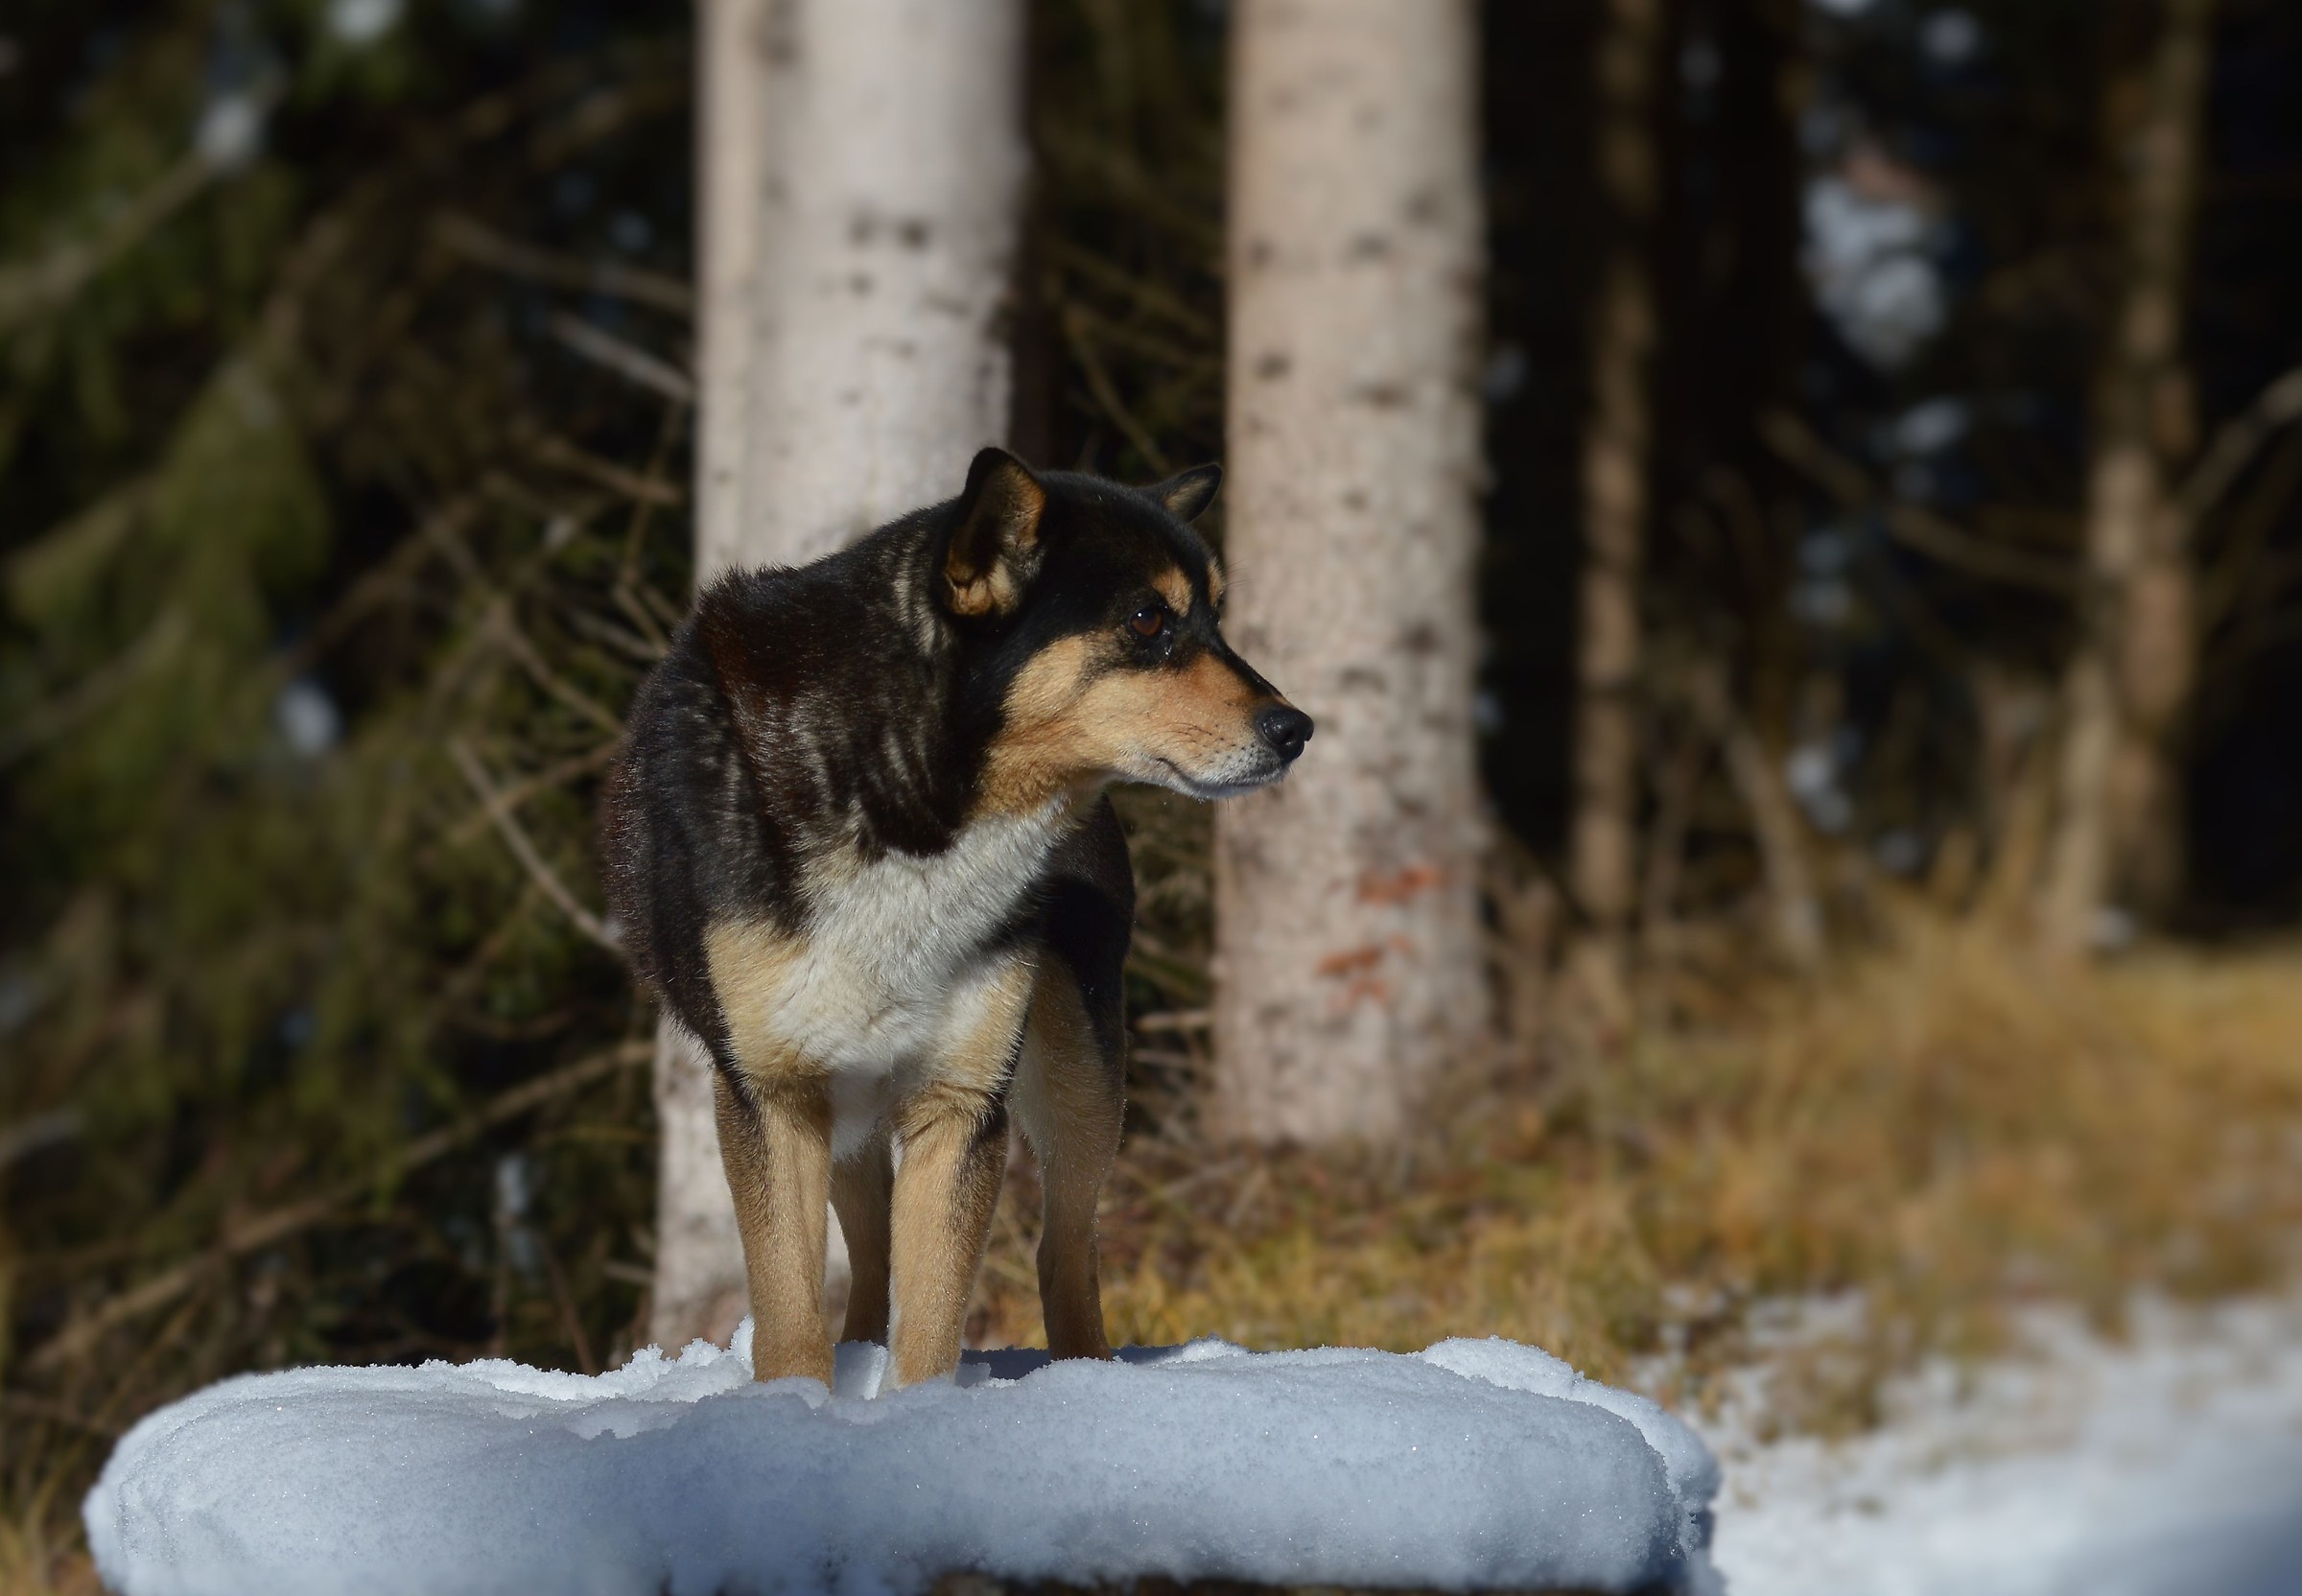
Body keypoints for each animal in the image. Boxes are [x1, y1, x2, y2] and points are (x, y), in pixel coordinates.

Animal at [600, 448, 1310, 1388]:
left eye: (1216, 620)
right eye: (1149, 618)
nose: (1298, 729)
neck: (908, 799)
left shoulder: (962, 1099)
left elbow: (934, 1322)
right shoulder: (773, 1091)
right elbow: (791, 1315)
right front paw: (794, 1414)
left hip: (1081, 1072)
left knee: (1063, 1250)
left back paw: (1089, 1377)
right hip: (851, 1104)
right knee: (870, 1256)